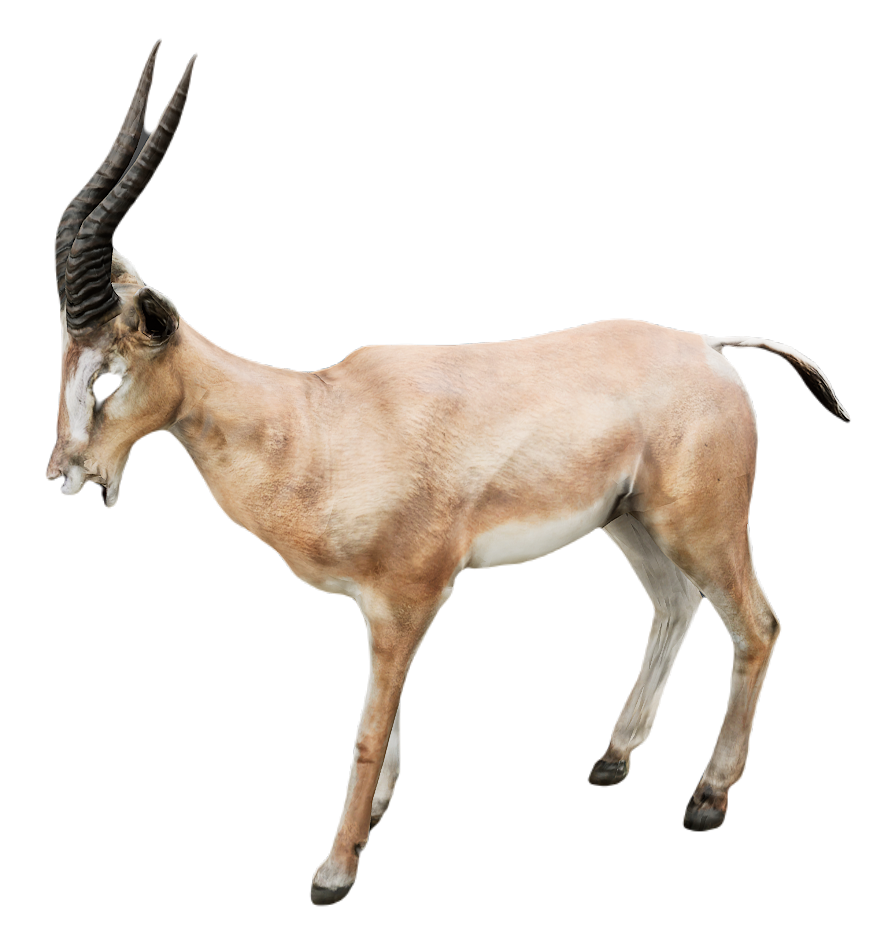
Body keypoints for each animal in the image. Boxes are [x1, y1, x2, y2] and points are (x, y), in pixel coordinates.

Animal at [49, 41, 851, 907]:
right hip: (631, 525)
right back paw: (613, 758)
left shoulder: (410, 600)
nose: (64, 472)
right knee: (675, 606)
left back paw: (707, 798)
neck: (314, 423)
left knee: (758, 625)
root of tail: (709, 346)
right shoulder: (376, 608)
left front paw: (335, 869)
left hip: (701, 525)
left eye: (108, 377)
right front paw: (375, 817)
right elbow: (389, 715)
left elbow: (367, 729)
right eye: (64, 361)